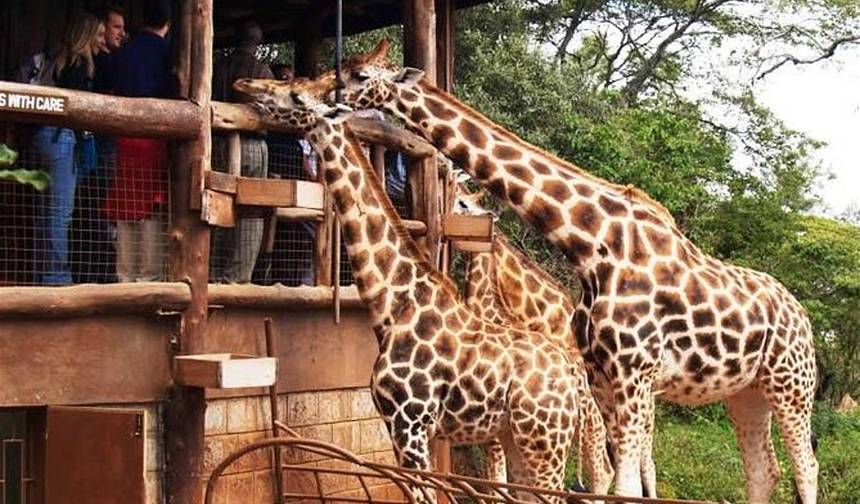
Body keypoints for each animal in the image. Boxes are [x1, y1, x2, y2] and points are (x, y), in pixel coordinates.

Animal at [232, 77, 580, 502]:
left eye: (296, 94)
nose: (245, 84)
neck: (393, 303)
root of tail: (570, 375)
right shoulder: (400, 425)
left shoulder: (410, 423)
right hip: (518, 438)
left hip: (544, 440)